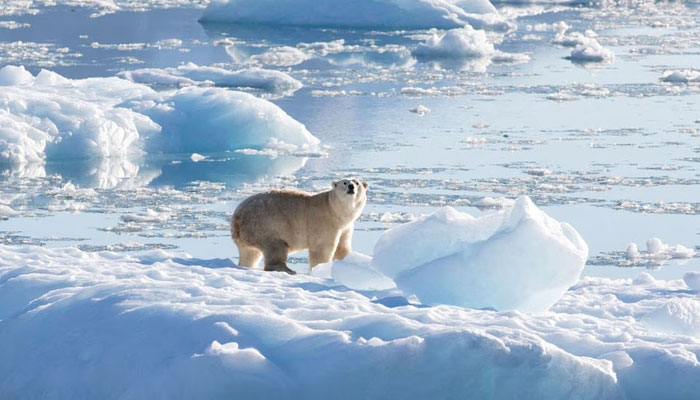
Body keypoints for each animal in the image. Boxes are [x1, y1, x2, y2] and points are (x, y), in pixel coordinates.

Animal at [232, 179, 370, 276]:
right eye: (344, 182)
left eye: (357, 182)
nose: (351, 187)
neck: (335, 209)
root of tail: (236, 218)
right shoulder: (324, 221)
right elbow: (322, 248)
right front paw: (320, 269)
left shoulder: (346, 227)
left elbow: (343, 247)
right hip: (266, 224)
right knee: (276, 247)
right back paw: (289, 270)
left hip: (249, 234)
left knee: (250, 254)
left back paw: (245, 266)